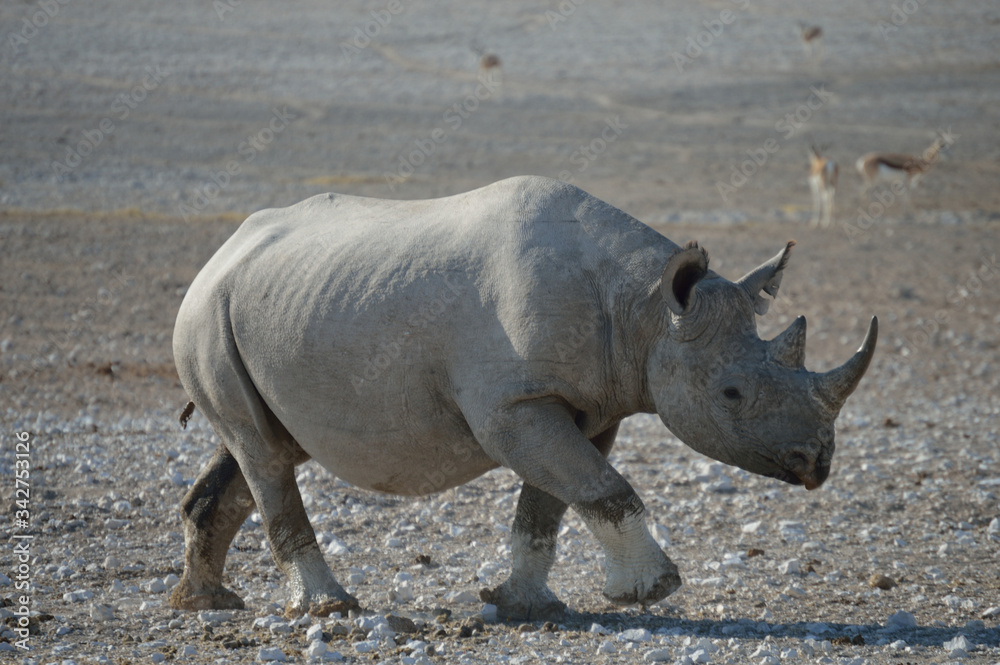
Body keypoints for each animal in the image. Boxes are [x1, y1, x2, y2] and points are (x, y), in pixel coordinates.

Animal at [170, 175, 877, 619]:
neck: (646, 308)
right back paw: (330, 610)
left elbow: (556, 500)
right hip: (206, 312)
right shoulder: (511, 407)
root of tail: (221, 251)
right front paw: (652, 592)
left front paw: (526, 606)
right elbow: (599, 486)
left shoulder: (591, 405)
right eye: (731, 393)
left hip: (267, 304)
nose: (817, 463)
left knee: (257, 449)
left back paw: (205, 603)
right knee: (263, 456)